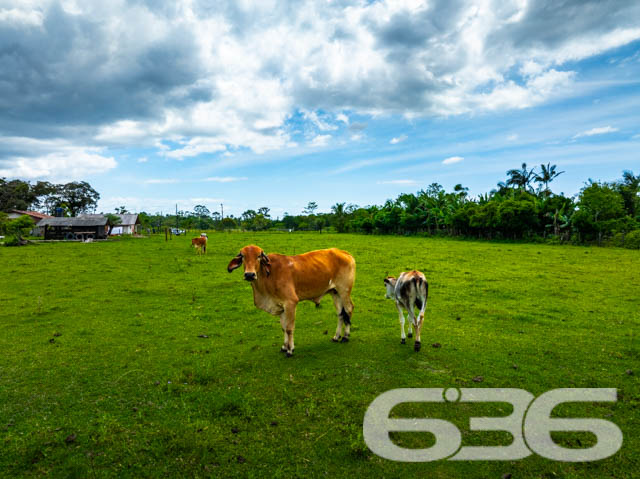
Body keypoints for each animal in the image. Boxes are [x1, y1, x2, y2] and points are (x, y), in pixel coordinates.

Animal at [226, 248, 358, 356]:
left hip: (344, 290)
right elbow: (283, 328)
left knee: (349, 309)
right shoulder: (281, 306)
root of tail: (345, 253)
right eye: (243, 256)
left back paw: (346, 336)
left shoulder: (291, 303)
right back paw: (336, 337)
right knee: (340, 314)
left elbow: (289, 328)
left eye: (258, 256)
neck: (269, 275)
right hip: (335, 292)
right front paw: (284, 347)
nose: (249, 274)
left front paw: (290, 350)